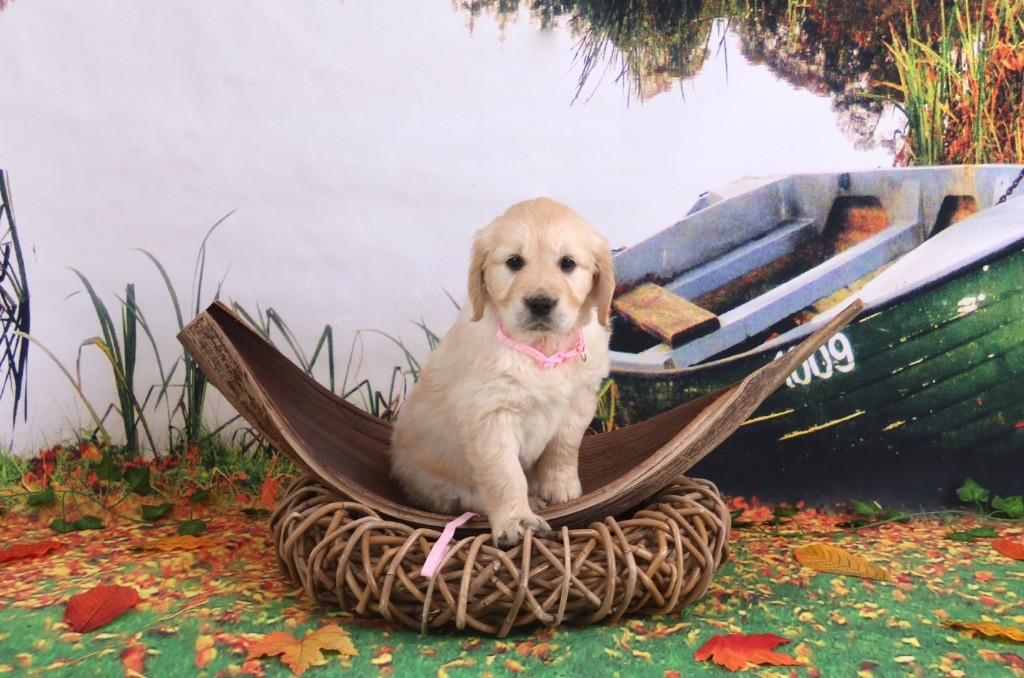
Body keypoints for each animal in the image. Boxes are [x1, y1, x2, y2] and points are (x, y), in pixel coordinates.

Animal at [390, 197, 614, 547]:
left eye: (567, 263)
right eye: (514, 262)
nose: (540, 303)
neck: (542, 350)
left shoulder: (580, 400)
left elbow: (564, 447)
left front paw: (561, 488)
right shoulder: (489, 416)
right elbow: (504, 475)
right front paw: (516, 520)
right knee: (465, 496)